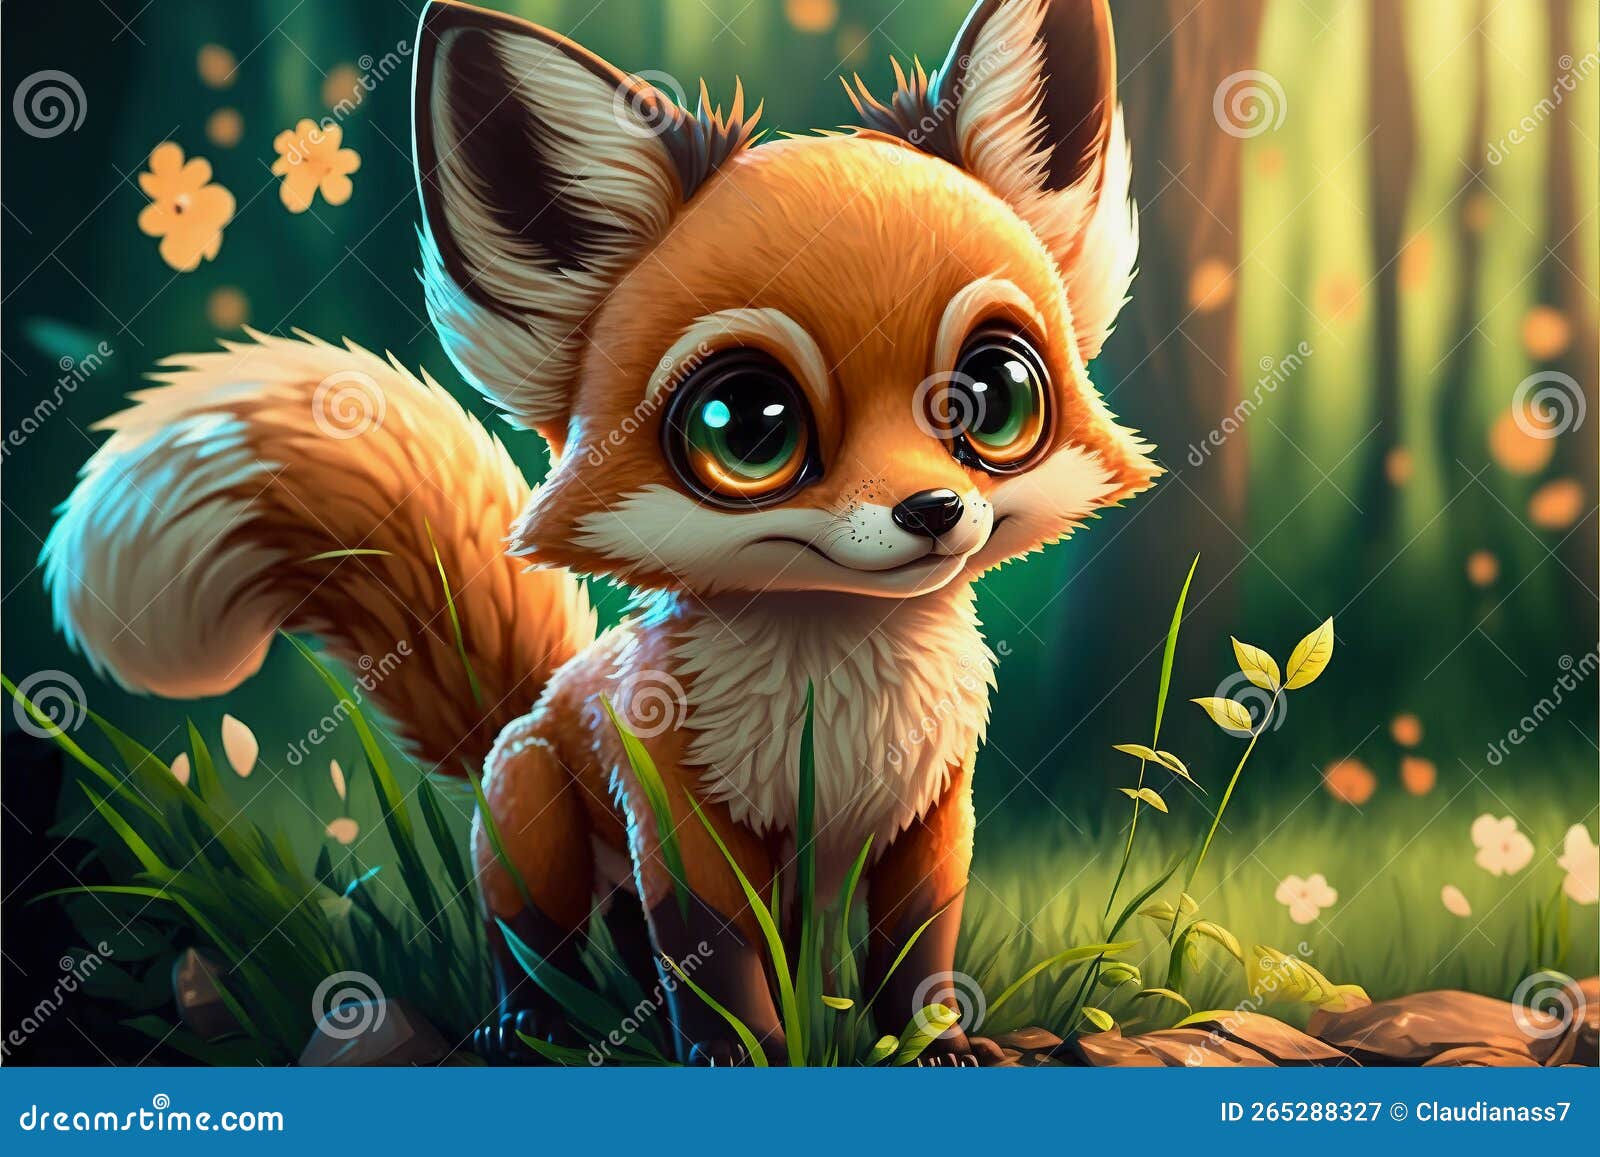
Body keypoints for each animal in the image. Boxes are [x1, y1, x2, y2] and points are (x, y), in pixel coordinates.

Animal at [43, 0, 1156, 1065]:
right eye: (747, 426)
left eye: (993, 398)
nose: (932, 512)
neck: (837, 684)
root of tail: (527, 705)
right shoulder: (680, 814)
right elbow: (715, 954)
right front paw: (742, 1056)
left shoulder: (929, 811)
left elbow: (918, 947)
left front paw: (935, 1045)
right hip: (533, 824)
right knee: (535, 944)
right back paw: (528, 1025)